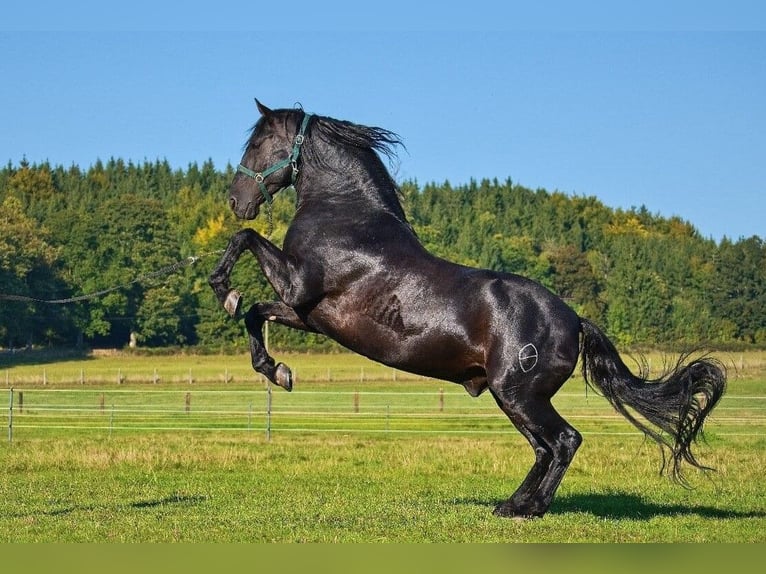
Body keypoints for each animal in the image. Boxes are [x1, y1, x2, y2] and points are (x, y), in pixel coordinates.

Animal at [208, 100, 728, 520]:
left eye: (259, 142)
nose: (235, 199)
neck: (346, 216)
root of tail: (575, 320)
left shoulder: (297, 284)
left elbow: (244, 243)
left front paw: (222, 288)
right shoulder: (307, 313)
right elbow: (255, 313)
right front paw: (277, 371)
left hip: (518, 393)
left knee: (563, 441)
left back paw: (528, 509)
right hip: (516, 398)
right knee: (545, 448)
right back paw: (513, 504)